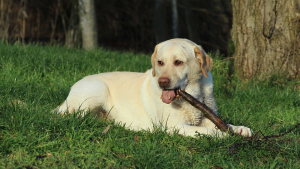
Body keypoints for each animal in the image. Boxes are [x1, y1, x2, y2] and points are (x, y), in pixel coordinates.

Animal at [54, 38, 253, 137]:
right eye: (160, 62)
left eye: (178, 62)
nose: (162, 82)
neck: (192, 95)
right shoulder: (175, 126)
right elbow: (206, 130)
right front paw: (222, 135)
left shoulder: (205, 117)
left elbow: (223, 124)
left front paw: (239, 128)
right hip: (96, 90)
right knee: (67, 116)